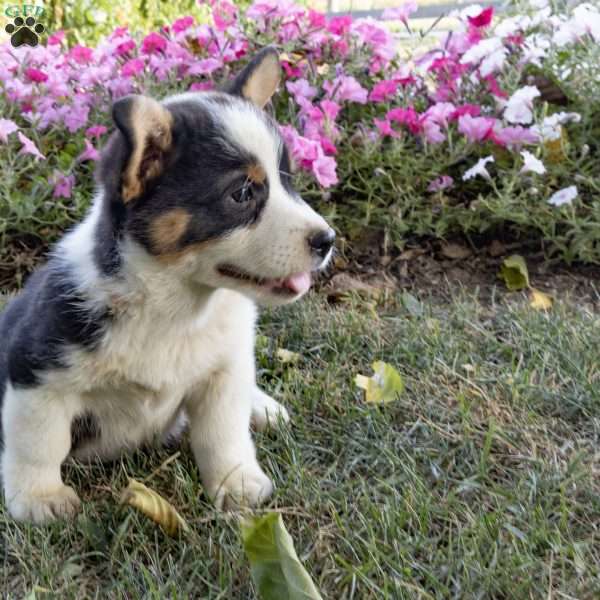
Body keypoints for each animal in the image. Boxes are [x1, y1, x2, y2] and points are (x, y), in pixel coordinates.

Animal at [0, 49, 332, 524]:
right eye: (243, 192)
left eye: (288, 180)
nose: (328, 240)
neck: (176, 305)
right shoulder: (37, 375)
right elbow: (39, 442)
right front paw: (39, 498)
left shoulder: (223, 375)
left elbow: (224, 435)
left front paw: (237, 484)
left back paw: (262, 407)